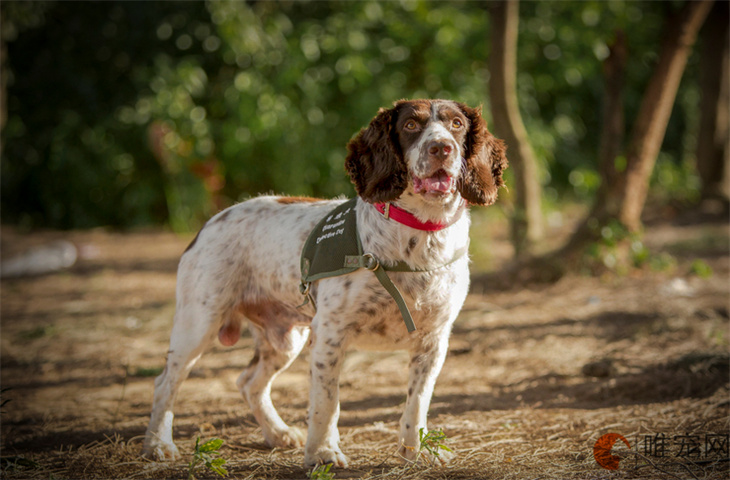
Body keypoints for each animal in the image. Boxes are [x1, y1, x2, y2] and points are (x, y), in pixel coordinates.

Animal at [142, 99, 506, 466]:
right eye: (410, 126)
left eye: (457, 124)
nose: (441, 148)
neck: (419, 238)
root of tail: (209, 224)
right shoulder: (331, 333)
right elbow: (327, 401)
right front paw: (322, 453)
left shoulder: (433, 340)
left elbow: (417, 401)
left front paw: (415, 450)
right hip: (199, 323)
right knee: (165, 383)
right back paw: (158, 444)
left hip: (285, 339)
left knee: (248, 382)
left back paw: (278, 433)